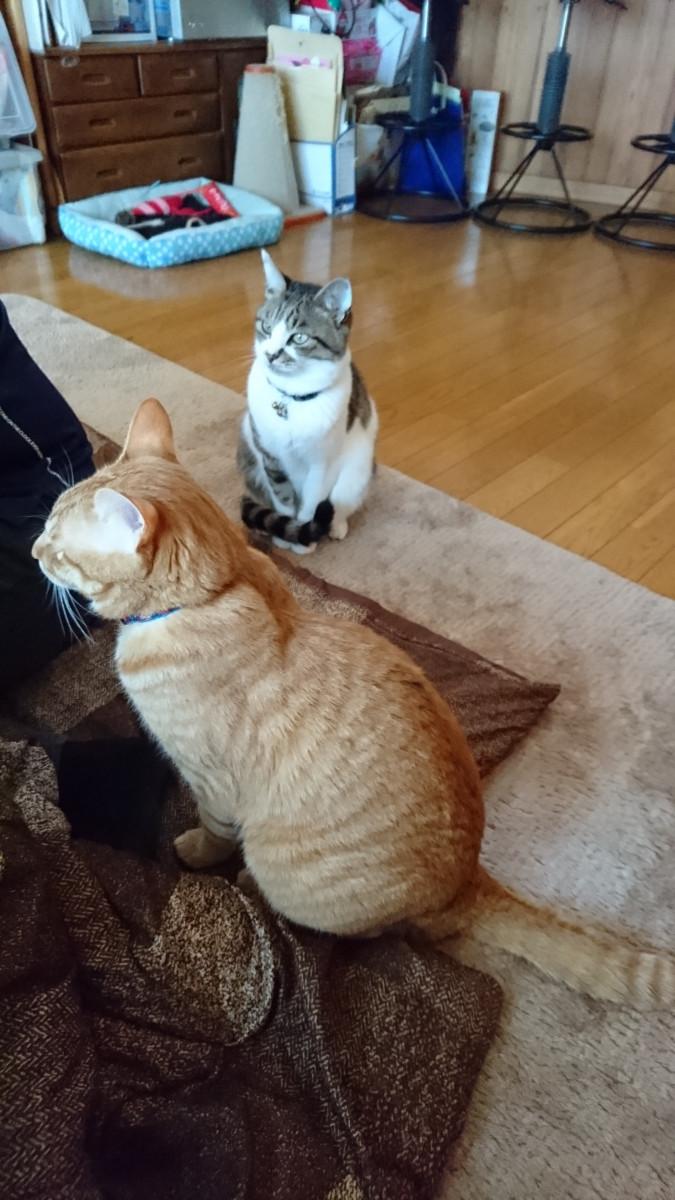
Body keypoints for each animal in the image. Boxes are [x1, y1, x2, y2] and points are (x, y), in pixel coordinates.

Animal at [33, 397, 675, 1011]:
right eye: (46, 525)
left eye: (58, 547)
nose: (34, 549)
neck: (218, 591)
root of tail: (468, 880)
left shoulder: (212, 782)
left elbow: (212, 830)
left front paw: (194, 852)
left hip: (288, 869)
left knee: (371, 934)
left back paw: (252, 884)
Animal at [237, 249, 378, 554]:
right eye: (266, 327)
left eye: (299, 337)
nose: (271, 355)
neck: (292, 399)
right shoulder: (270, 456)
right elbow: (283, 500)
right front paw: (286, 536)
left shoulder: (323, 464)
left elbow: (312, 504)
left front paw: (305, 540)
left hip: (359, 468)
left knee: (343, 503)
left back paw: (336, 526)